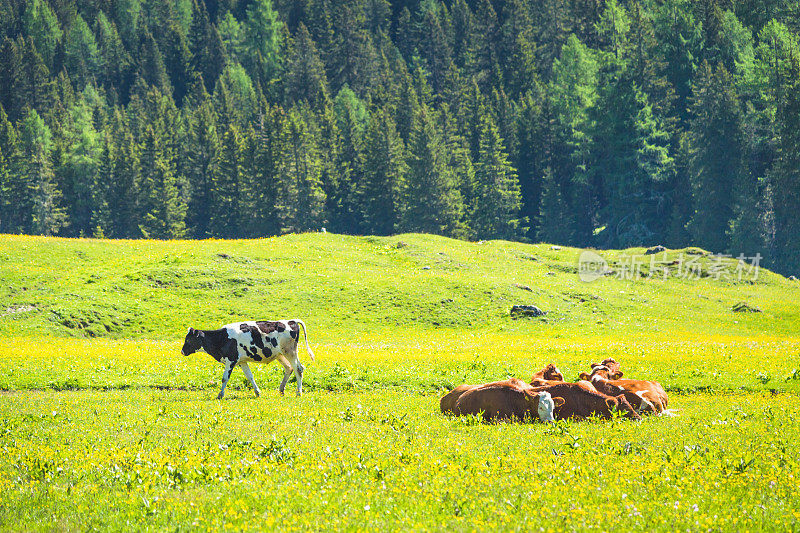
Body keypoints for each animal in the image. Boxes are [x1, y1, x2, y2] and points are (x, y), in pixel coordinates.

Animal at [181, 318, 316, 396]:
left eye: (188, 339)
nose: (182, 351)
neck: (221, 338)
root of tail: (291, 321)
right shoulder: (242, 361)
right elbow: (250, 376)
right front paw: (257, 392)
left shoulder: (231, 360)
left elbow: (225, 378)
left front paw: (220, 394)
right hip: (280, 354)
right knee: (289, 368)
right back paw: (281, 389)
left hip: (290, 351)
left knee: (299, 369)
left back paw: (298, 392)